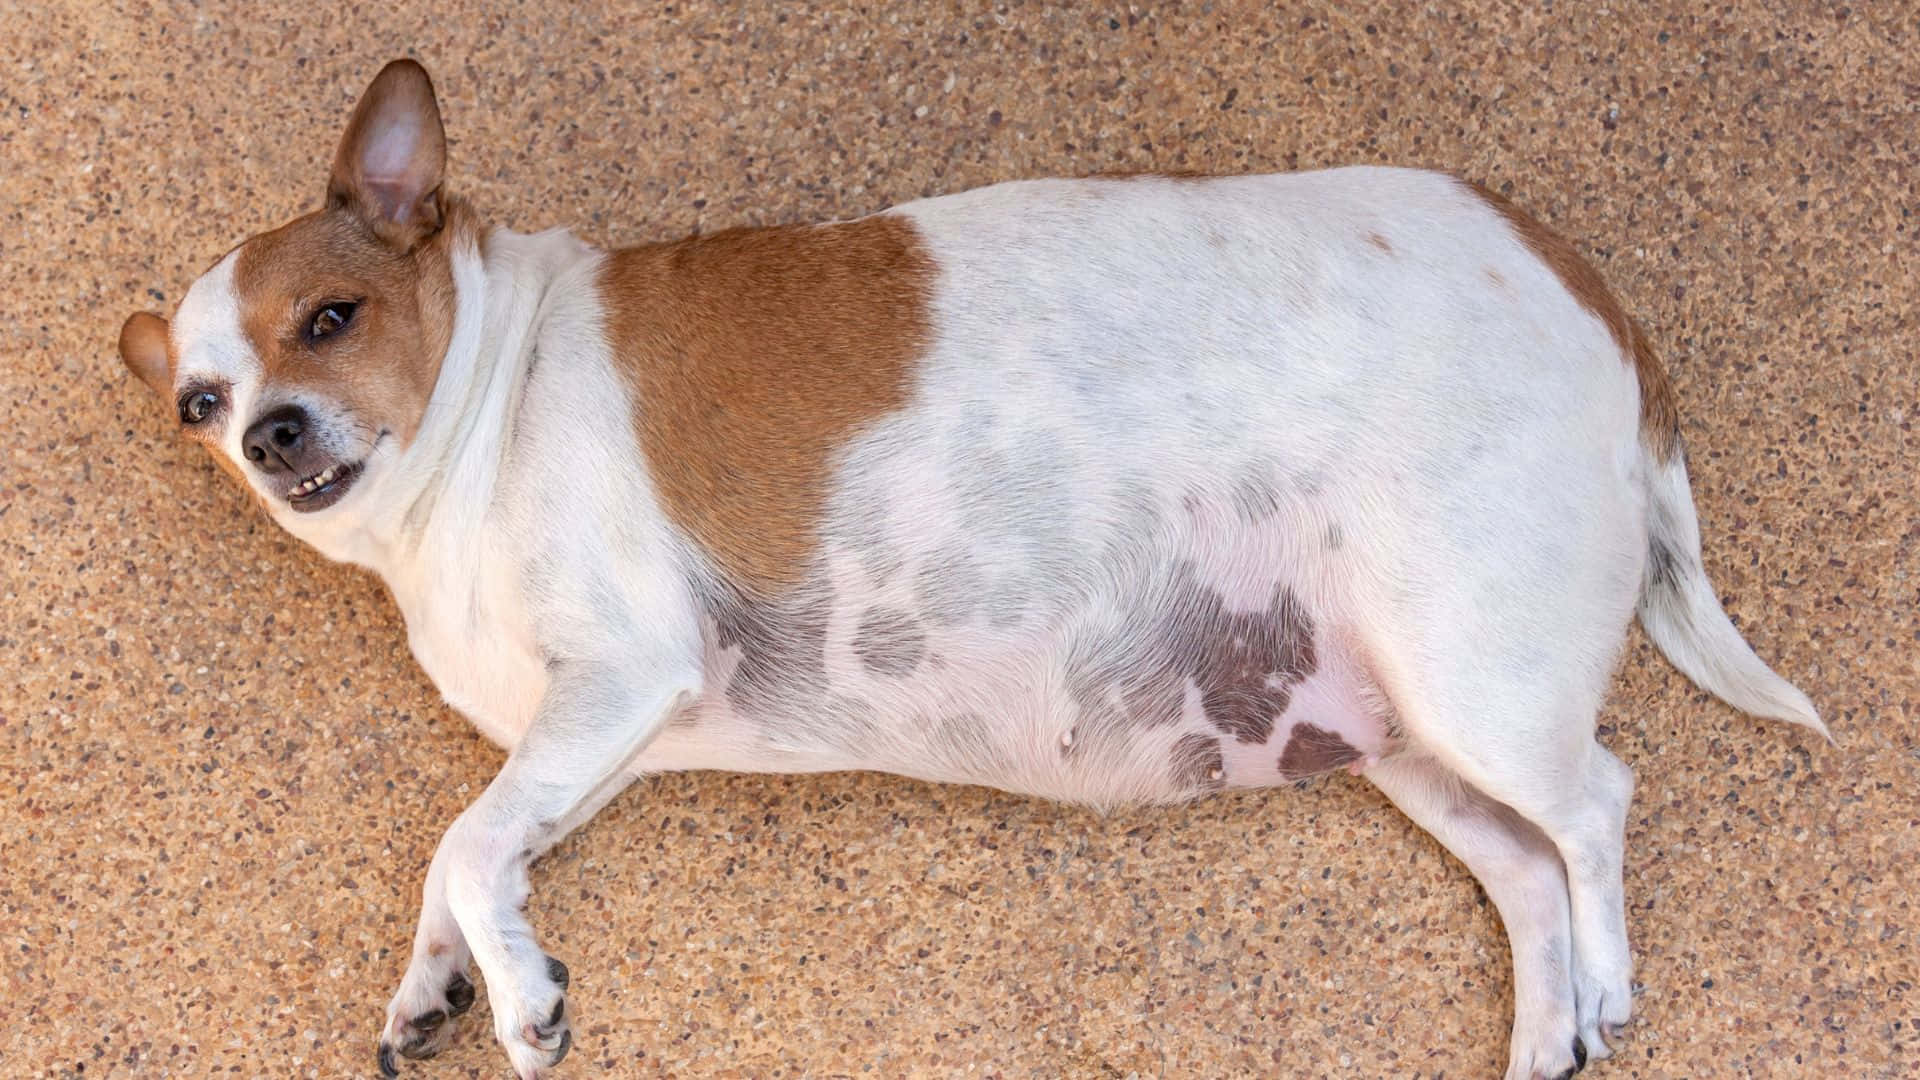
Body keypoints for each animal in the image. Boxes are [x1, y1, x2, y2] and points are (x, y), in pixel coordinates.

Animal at [112, 61, 1820, 1076]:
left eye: (331, 319)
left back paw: (1609, 985)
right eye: (196, 400)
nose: (265, 432)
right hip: (1398, 728)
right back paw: (1549, 1034)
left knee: (1596, 812)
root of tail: (1574, 275)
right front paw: (444, 980)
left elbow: (467, 847)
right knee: (1529, 872)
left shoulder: (619, 679)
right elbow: (468, 857)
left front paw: (523, 1003)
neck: (487, 399)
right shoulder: (595, 740)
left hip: (1478, 677)